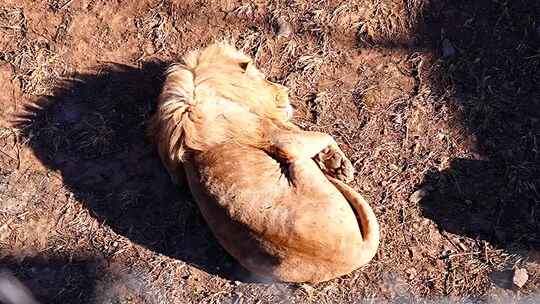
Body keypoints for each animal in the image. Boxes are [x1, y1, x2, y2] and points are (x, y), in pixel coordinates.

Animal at [148, 42, 380, 282]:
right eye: (263, 78)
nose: (283, 91)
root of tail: (356, 253)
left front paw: (339, 164)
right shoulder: (280, 139)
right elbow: (320, 134)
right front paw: (337, 163)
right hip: (299, 163)